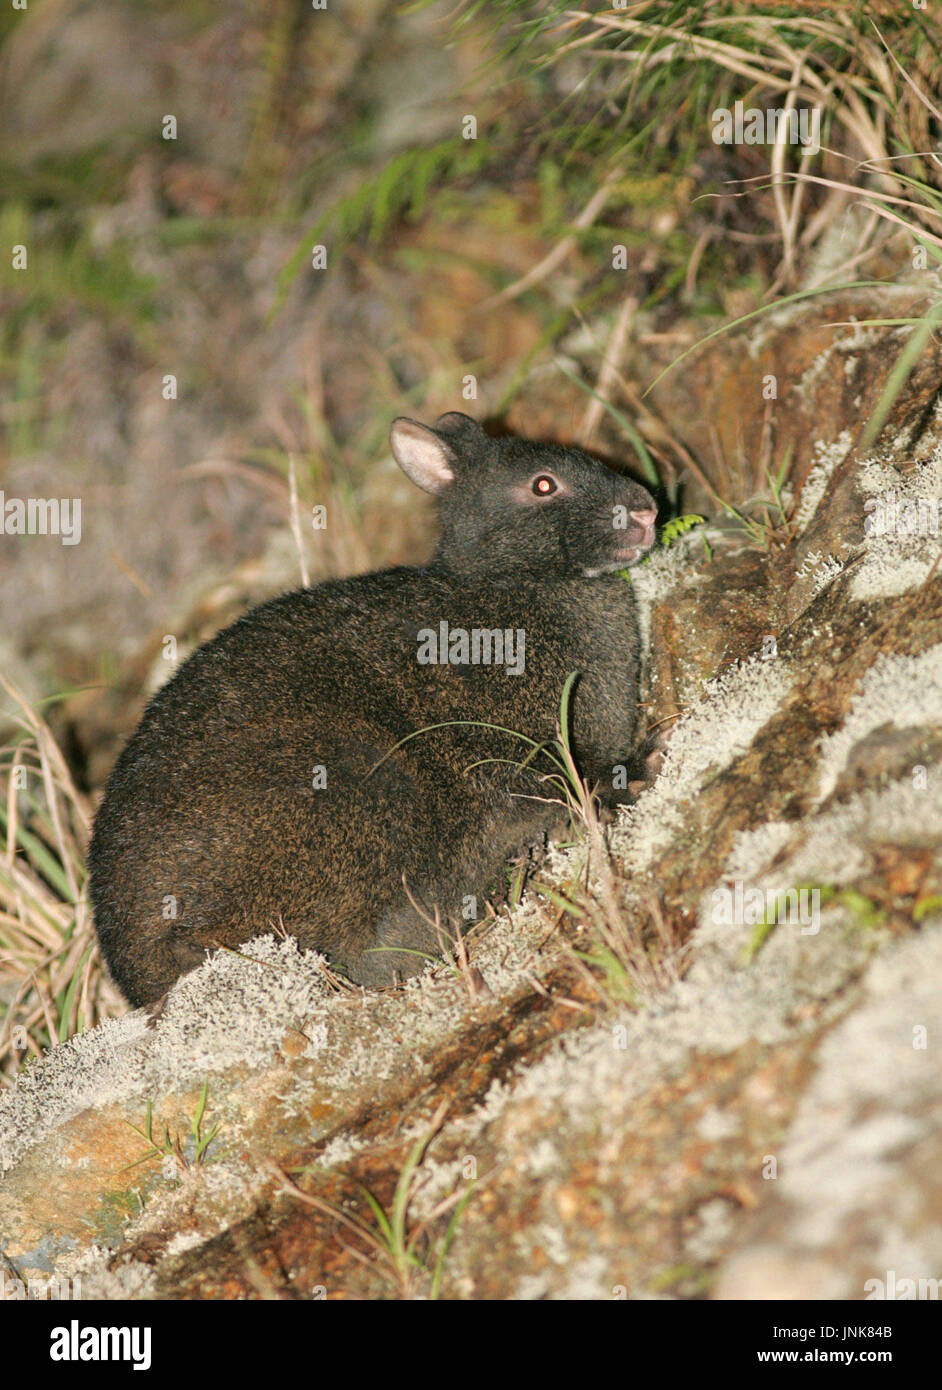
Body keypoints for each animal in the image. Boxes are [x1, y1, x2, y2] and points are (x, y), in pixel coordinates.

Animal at [87, 411, 657, 1006]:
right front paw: (639, 769)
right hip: (363, 791)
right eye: (543, 484)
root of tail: (139, 979)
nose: (645, 511)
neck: (510, 587)